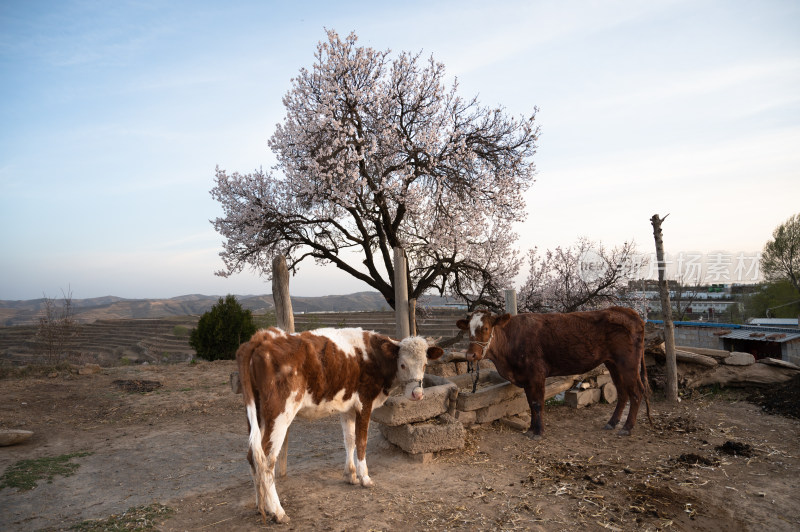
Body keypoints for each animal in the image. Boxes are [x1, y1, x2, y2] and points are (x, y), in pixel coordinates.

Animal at [234, 326, 446, 520]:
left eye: (425, 365)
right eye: (402, 365)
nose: (417, 394)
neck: (374, 356)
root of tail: (263, 337)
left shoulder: (348, 408)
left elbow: (349, 440)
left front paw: (350, 475)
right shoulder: (364, 403)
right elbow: (361, 442)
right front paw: (365, 478)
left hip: (256, 414)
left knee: (252, 456)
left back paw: (261, 505)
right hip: (279, 414)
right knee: (267, 460)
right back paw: (277, 511)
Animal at [456, 308, 648, 440]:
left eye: (486, 328)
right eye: (468, 330)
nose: (470, 355)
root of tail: (627, 311)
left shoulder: (536, 375)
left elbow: (538, 403)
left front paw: (539, 432)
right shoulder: (526, 378)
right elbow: (530, 403)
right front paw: (531, 429)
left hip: (628, 364)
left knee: (637, 392)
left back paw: (627, 427)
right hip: (613, 364)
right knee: (622, 393)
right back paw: (612, 423)